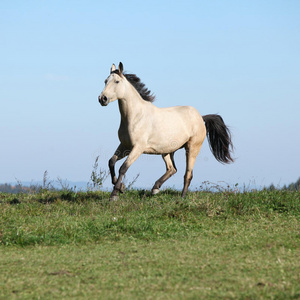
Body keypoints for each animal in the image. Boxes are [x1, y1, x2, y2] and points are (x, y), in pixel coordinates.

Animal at [97, 62, 233, 200]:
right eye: (105, 81)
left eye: (117, 81)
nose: (102, 99)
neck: (135, 116)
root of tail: (201, 117)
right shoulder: (125, 145)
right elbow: (111, 161)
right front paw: (121, 187)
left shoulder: (138, 148)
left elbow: (123, 168)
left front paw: (114, 194)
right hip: (167, 151)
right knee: (172, 169)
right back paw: (155, 189)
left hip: (192, 148)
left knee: (187, 174)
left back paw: (181, 197)